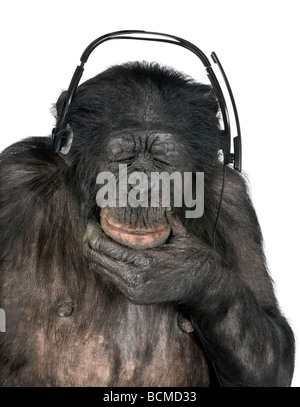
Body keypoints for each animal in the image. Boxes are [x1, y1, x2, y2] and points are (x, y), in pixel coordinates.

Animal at [0, 56, 296, 386]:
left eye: (163, 160)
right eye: (122, 157)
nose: (141, 186)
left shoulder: (233, 201)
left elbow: (273, 355)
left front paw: (185, 271)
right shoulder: (13, 179)